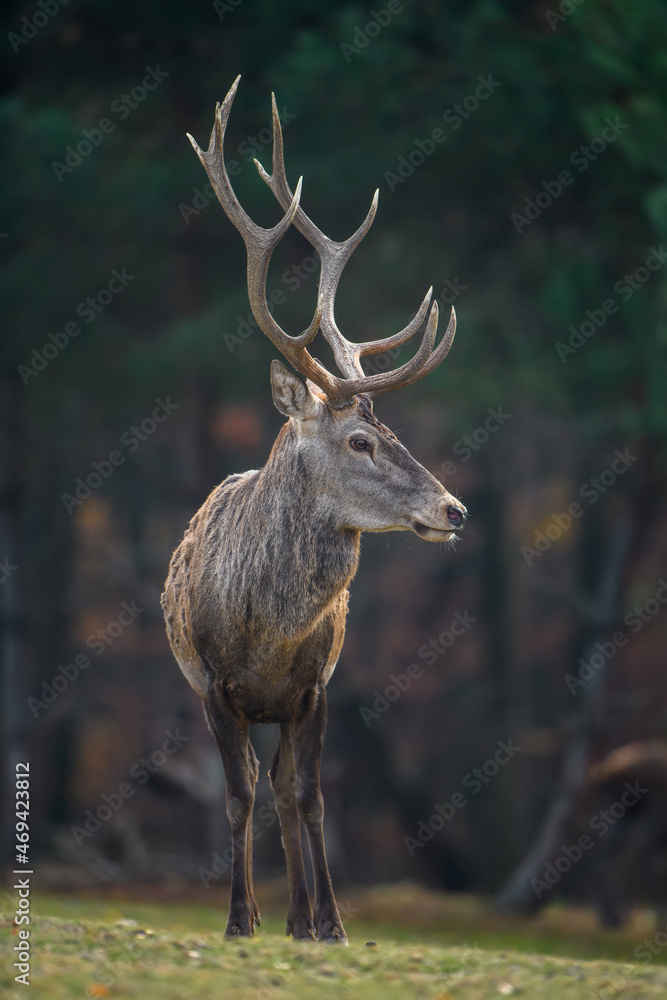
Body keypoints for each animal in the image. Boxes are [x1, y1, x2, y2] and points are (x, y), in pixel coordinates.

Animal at [161, 76, 467, 943]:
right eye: (360, 440)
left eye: (392, 433)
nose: (455, 509)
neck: (267, 632)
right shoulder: (215, 685)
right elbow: (237, 796)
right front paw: (239, 919)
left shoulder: (315, 688)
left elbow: (311, 798)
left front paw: (329, 922)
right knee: (257, 789)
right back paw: (273, 915)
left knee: (289, 791)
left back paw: (301, 917)